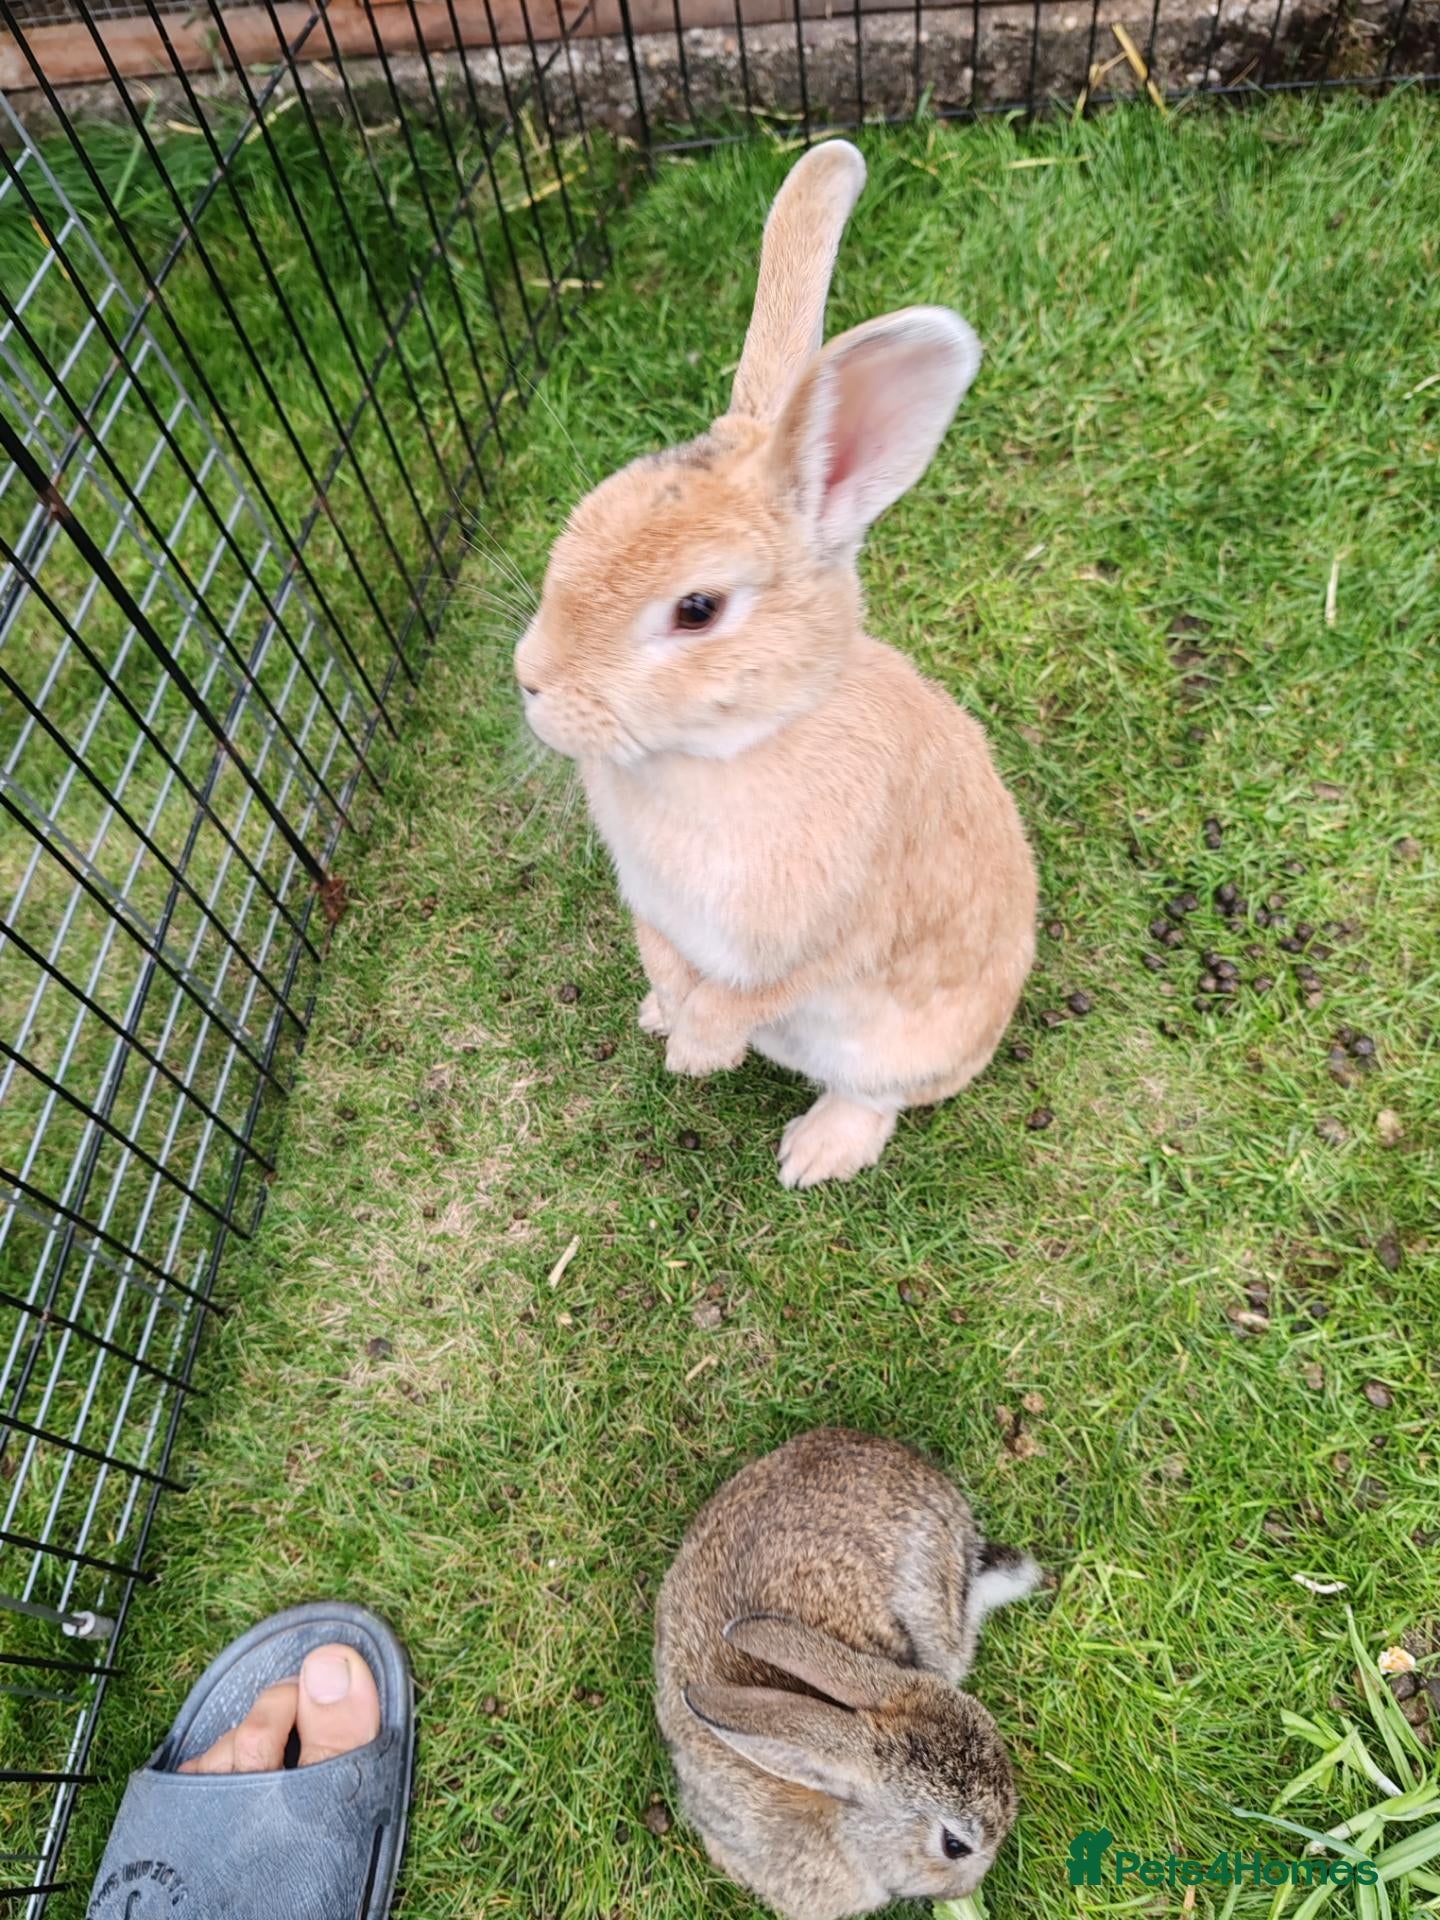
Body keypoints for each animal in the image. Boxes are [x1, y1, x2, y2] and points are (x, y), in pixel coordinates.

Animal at [514, 138, 1036, 1188]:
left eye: (698, 609)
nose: (531, 682)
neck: (737, 749)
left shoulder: (821, 938)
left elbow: (751, 994)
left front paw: (698, 1053)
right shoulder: (658, 912)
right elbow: (664, 954)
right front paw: (669, 1016)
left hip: (900, 1048)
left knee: (876, 1097)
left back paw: (815, 1153)